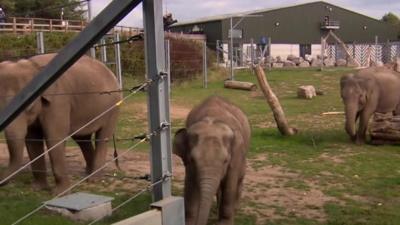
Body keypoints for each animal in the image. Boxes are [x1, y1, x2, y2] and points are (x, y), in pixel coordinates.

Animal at [0, 53, 122, 194]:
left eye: (28, 105)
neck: (32, 66)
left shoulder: (59, 101)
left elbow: (54, 138)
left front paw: (59, 193)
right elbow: (32, 140)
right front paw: (37, 189)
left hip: (112, 107)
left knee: (102, 138)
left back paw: (94, 180)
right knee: (82, 139)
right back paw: (87, 174)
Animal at [174, 96, 252, 225]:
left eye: (225, 161)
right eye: (192, 160)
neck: (211, 119)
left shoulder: (235, 157)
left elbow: (230, 185)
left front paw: (225, 222)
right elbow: (190, 186)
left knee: (238, 181)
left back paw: (234, 209)